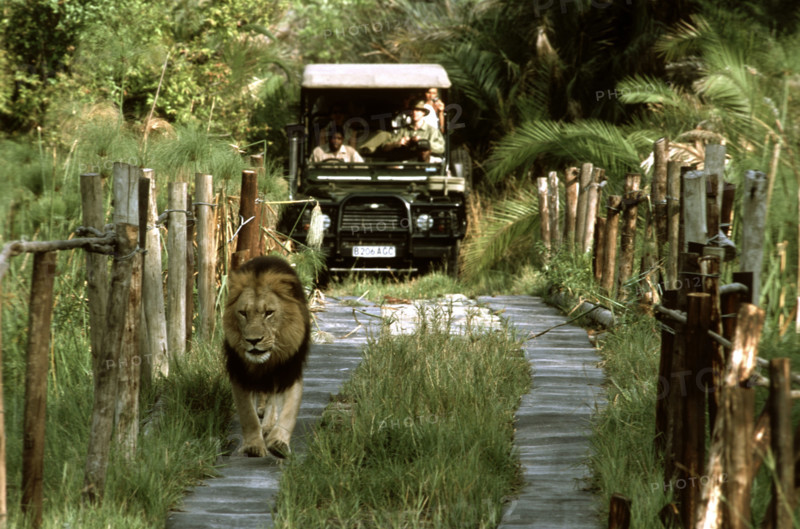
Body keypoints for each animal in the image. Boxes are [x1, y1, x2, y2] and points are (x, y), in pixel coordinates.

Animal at [222, 255, 310, 458]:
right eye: (243, 313)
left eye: (269, 313)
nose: (253, 340)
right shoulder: (239, 373)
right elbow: (247, 414)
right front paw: (254, 446)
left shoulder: (290, 371)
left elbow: (288, 411)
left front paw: (278, 443)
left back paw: (269, 425)